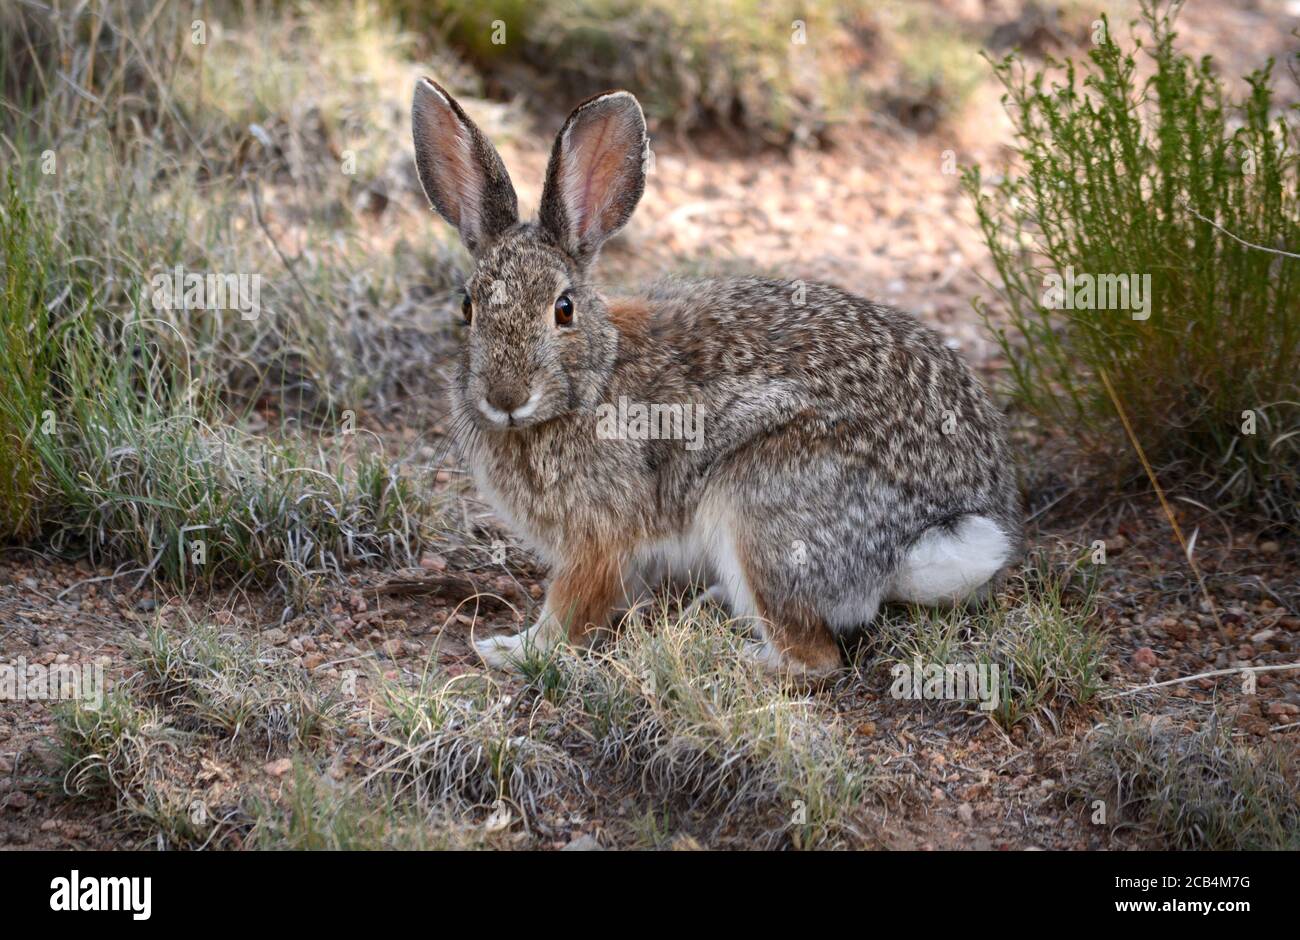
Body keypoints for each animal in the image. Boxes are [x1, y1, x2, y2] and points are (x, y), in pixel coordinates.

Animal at [410, 77, 1019, 670]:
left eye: (563, 309)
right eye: (467, 307)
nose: (506, 397)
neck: (594, 377)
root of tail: (928, 534)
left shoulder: (600, 538)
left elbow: (572, 606)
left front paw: (515, 649)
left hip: (757, 506)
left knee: (814, 657)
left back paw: (736, 654)